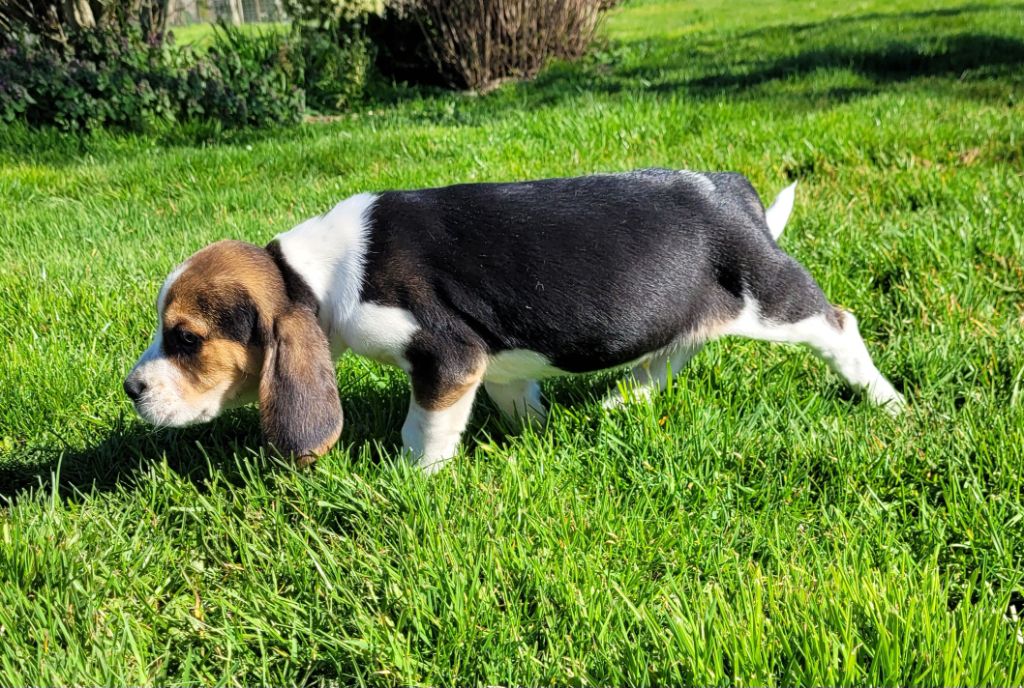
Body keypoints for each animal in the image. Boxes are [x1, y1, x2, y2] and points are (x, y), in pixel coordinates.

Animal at [124, 169, 904, 473]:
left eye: (186, 339)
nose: (132, 389)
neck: (311, 272)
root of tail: (733, 193)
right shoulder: (489, 365)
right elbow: (514, 394)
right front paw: (537, 432)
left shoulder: (447, 356)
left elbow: (425, 427)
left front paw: (413, 478)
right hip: (693, 310)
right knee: (675, 348)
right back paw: (625, 401)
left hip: (774, 300)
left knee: (840, 325)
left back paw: (887, 403)